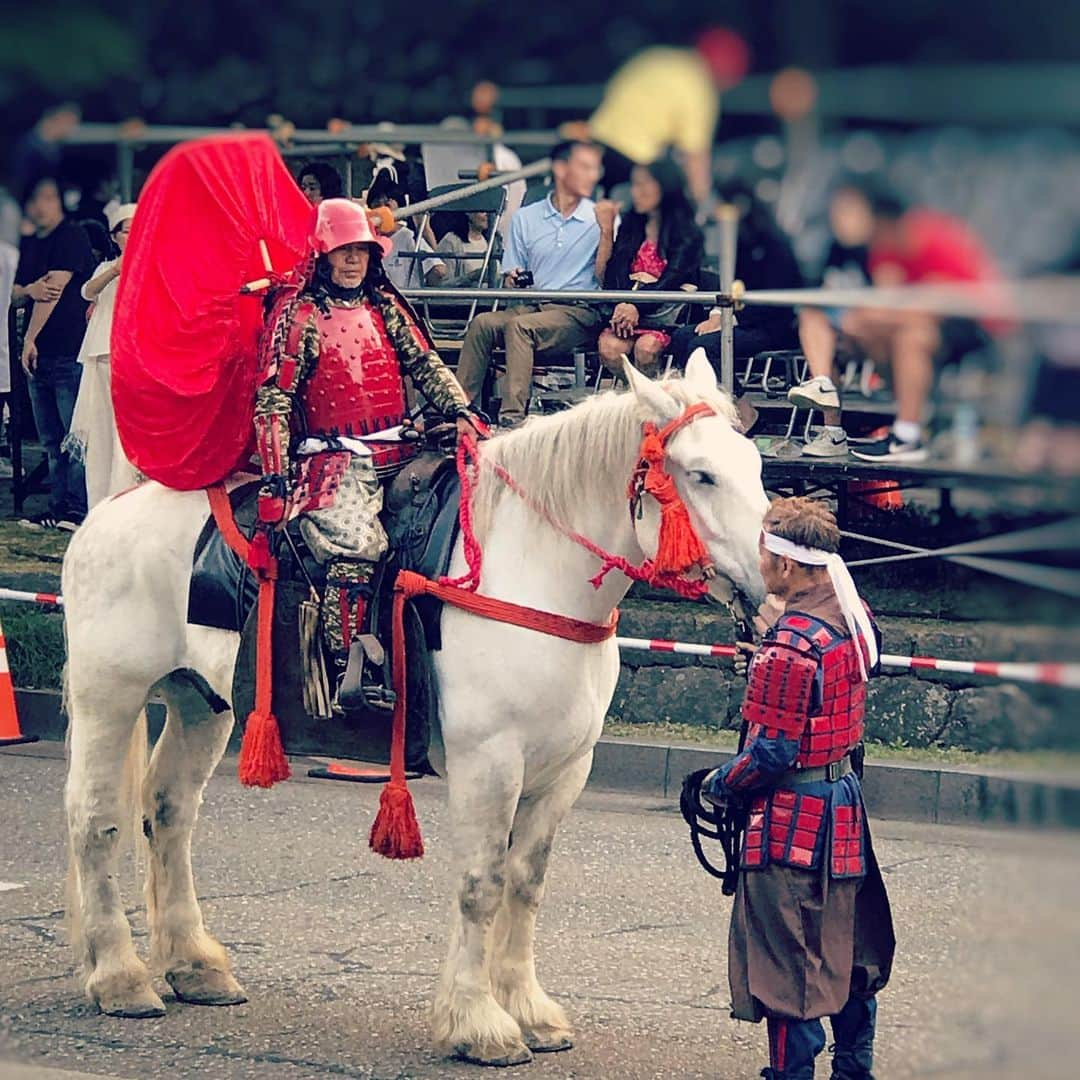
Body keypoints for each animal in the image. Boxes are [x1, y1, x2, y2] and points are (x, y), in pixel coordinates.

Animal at [61, 358, 768, 1067]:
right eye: (701, 474)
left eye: (756, 464)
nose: (771, 580)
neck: (530, 575)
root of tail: (107, 516)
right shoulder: (489, 764)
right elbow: (482, 885)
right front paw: (478, 1024)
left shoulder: (564, 771)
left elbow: (526, 884)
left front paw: (527, 1010)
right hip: (109, 695)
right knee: (97, 819)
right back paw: (119, 978)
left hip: (202, 704)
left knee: (169, 813)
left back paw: (194, 967)